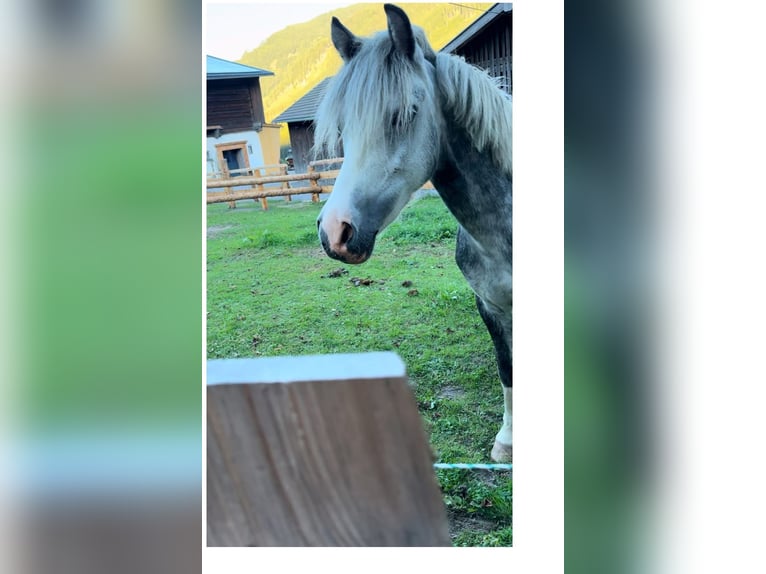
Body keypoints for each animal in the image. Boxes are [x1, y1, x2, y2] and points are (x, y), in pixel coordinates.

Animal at [316, 4, 512, 464]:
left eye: (405, 114)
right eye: (344, 128)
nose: (335, 231)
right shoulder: (491, 308)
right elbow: (506, 368)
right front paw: (508, 441)